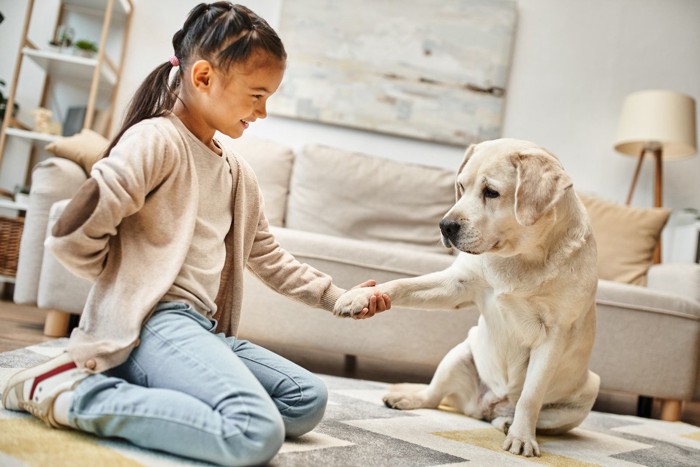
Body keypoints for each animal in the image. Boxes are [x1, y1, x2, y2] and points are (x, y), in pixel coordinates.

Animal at [334, 138, 600, 458]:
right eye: (461, 186)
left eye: (491, 192)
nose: (445, 226)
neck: (519, 257)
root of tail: (482, 408)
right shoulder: (456, 285)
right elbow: (402, 284)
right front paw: (361, 295)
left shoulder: (554, 335)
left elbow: (530, 397)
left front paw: (523, 437)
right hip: (459, 354)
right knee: (433, 396)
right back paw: (408, 399)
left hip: (589, 391)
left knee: (519, 412)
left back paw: (508, 424)